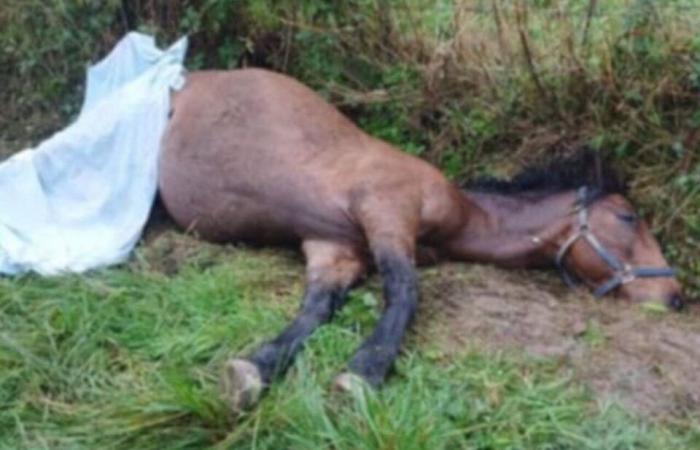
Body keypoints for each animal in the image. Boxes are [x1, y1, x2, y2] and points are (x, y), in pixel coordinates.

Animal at [159, 67, 684, 412]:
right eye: (627, 216)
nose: (676, 296)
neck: (462, 215)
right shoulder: (386, 212)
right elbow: (405, 291)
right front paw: (363, 373)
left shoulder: (334, 250)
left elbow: (316, 309)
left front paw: (255, 369)